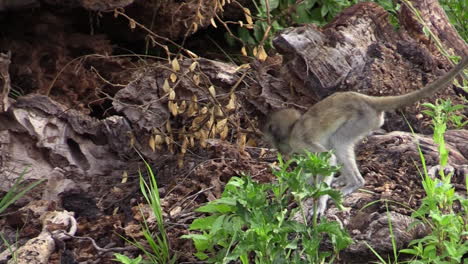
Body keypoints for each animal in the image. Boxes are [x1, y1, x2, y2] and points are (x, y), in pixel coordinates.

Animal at [264, 57, 468, 217]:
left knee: (338, 143)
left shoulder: (299, 141)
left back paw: (355, 183)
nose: (280, 153)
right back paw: (344, 180)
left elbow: (328, 159)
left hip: (362, 119)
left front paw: (319, 201)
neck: (293, 127)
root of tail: (366, 100)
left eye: (275, 141)